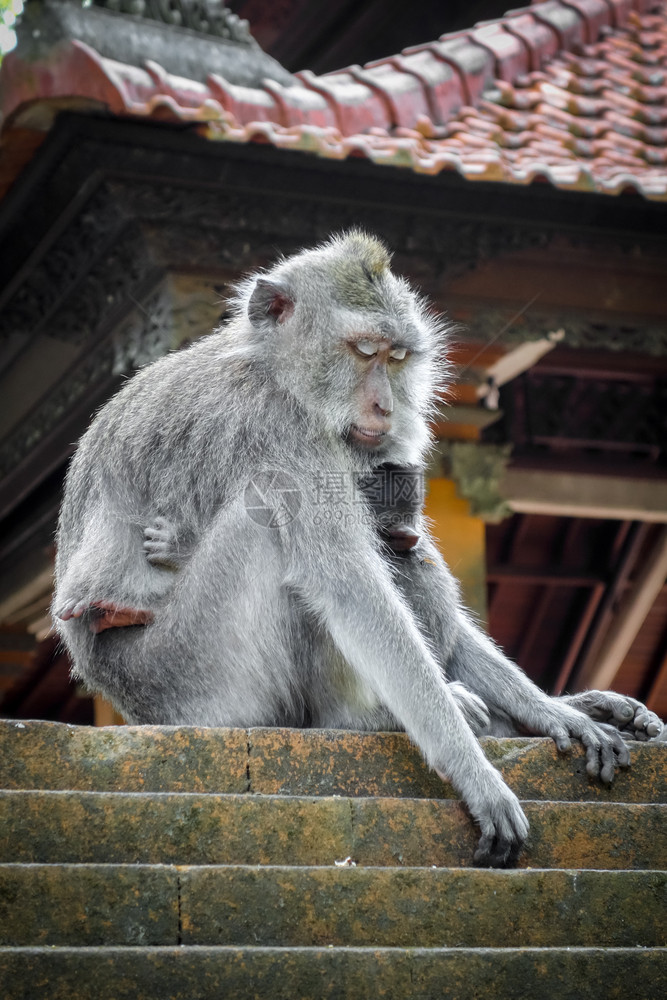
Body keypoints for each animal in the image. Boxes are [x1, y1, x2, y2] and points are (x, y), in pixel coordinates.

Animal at [53, 229, 667, 868]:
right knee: (270, 524)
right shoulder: (284, 432)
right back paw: (362, 718)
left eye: (396, 359)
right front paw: (475, 774)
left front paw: (552, 712)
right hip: (191, 677)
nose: (385, 406)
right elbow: (351, 590)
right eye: (364, 350)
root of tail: (122, 698)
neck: (275, 371)